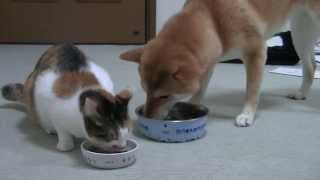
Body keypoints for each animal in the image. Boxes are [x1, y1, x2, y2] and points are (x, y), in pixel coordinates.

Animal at [1, 43, 131, 152]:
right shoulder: (55, 115)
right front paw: (64, 146)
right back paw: (49, 129)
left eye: (127, 130)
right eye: (112, 135)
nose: (123, 145)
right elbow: (63, 134)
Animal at [120, 0, 320, 127]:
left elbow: (252, 89)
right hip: (300, 32)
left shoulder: (256, 52)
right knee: (311, 67)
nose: (147, 116)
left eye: (164, 96)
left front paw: (247, 115)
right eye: (146, 92)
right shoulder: (209, 61)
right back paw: (301, 93)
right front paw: (192, 105)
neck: (212, 19)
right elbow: (200, 89)